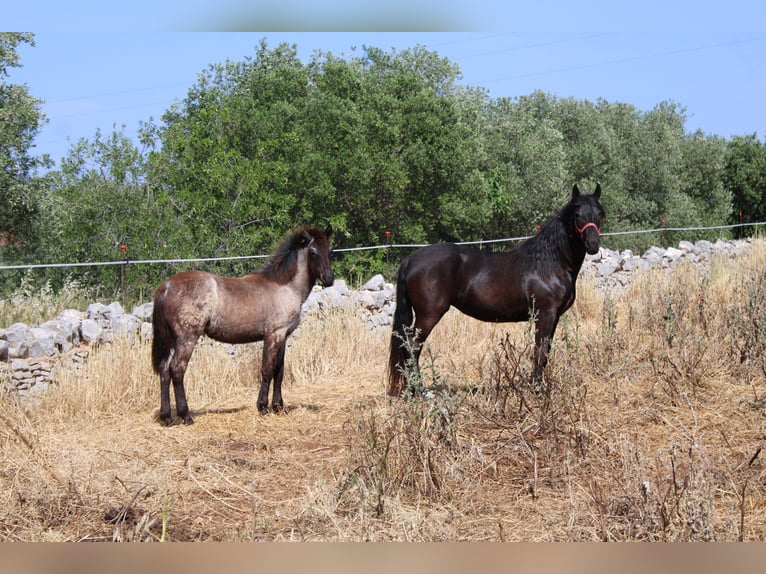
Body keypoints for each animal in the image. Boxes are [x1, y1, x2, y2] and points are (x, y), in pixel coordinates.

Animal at [390, 184, 608, 396]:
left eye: (599, 213)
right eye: (577, 214)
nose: (593, 244)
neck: (550, 263)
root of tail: (411, 259)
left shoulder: (554, 317)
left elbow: (545, 351)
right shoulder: (545, 314)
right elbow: (539, 351)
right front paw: (537, 390)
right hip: (429, 315)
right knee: (412, 346)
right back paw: (419, 391)